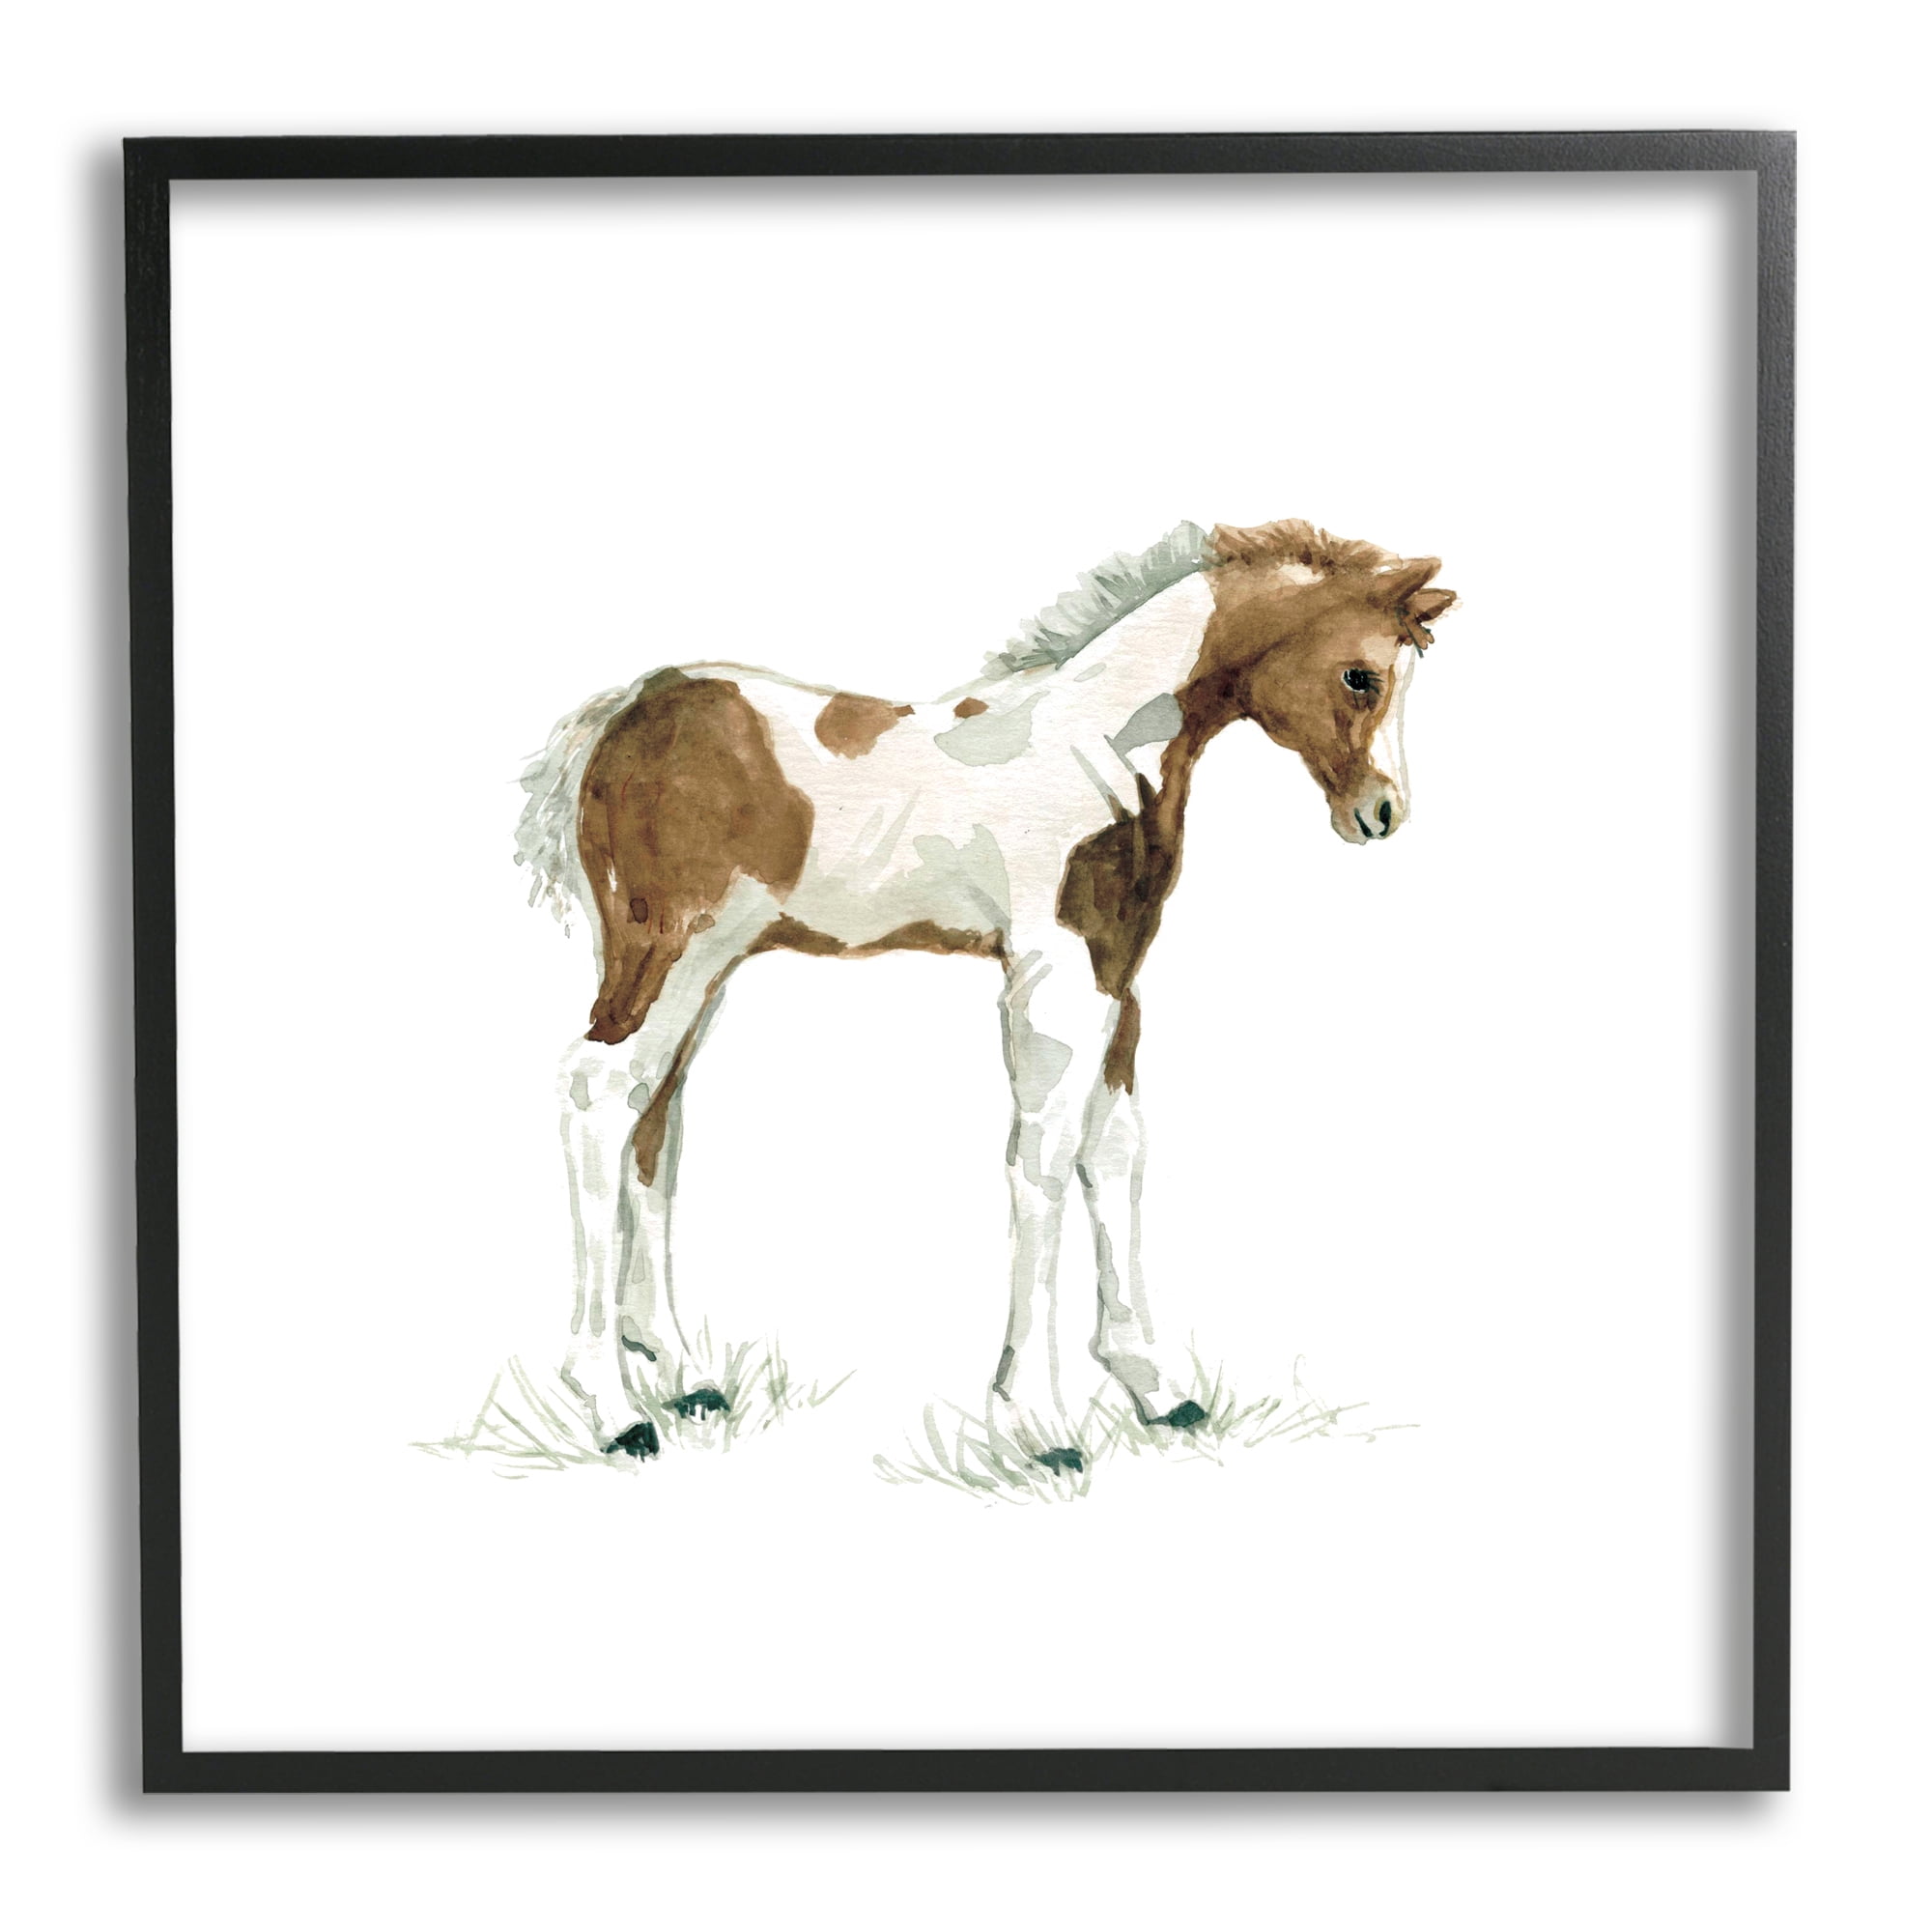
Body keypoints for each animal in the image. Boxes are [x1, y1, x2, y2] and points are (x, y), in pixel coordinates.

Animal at [514, 517, 1455, 1464]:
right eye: (1361, 675)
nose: (1382, 814)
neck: (1098, 748)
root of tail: (621, 714)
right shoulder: (1052, 975)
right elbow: (1041, 1158)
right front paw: (1038, 1418)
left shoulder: (1117, 976)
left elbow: (1116, 1151)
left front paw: (1157, 1389)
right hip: (669, 952)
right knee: (598, 1092)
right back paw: (612, 1406)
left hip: (705, 969)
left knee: (655, 1114)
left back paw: (681, 1375)